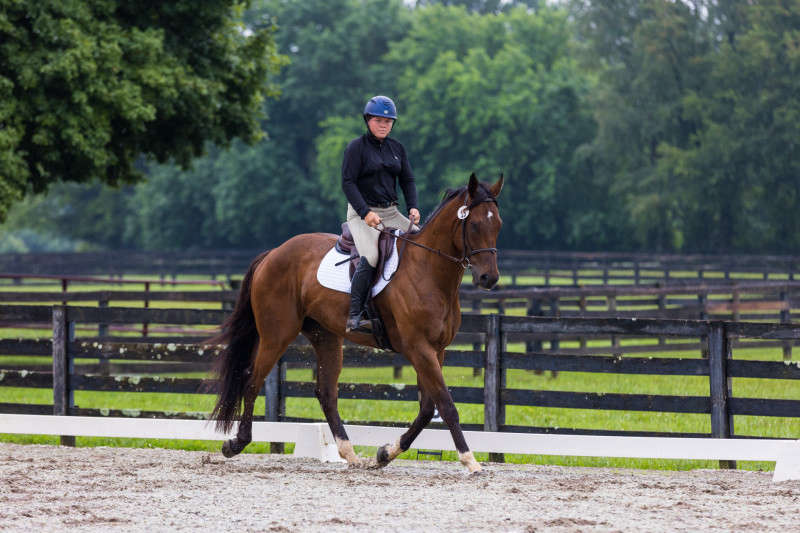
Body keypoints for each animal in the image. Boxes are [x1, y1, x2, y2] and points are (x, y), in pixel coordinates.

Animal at [209, 172, 504, 472]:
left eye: (498, 225)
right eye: (475, 224)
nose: (488, 278)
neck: (428, 270)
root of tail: (272, 253)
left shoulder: (436, 350)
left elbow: (426, 409)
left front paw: (385, 453)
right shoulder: (419, 349)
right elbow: (446, 405)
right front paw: (470, 460)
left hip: (326, 336)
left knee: (326, 393)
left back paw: (350, 454)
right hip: (276, 334)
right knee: (252, 379)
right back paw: (236, 443)